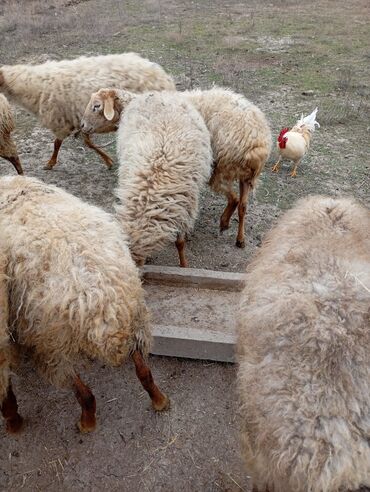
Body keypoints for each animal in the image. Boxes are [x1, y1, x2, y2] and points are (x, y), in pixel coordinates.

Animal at [0, 52, 176, 170]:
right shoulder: (80, 120)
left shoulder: (61, 122)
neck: (30, 85)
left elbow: (57, 144)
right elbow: (87, 142)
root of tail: (163, 76)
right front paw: (108, 160)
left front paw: (50, 163)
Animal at [0, 175, 170, 432]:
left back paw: (84, 423)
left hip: (53, 344)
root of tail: (102, 301)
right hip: (135, 318)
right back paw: (159, 400)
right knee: (144, 371)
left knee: (86, 394)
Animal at [82, 87, 212, 268]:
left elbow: (180, 243)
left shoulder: (184, 206)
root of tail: (154, 94)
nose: (82, 126)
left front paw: (184, 265)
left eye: (96, 106)